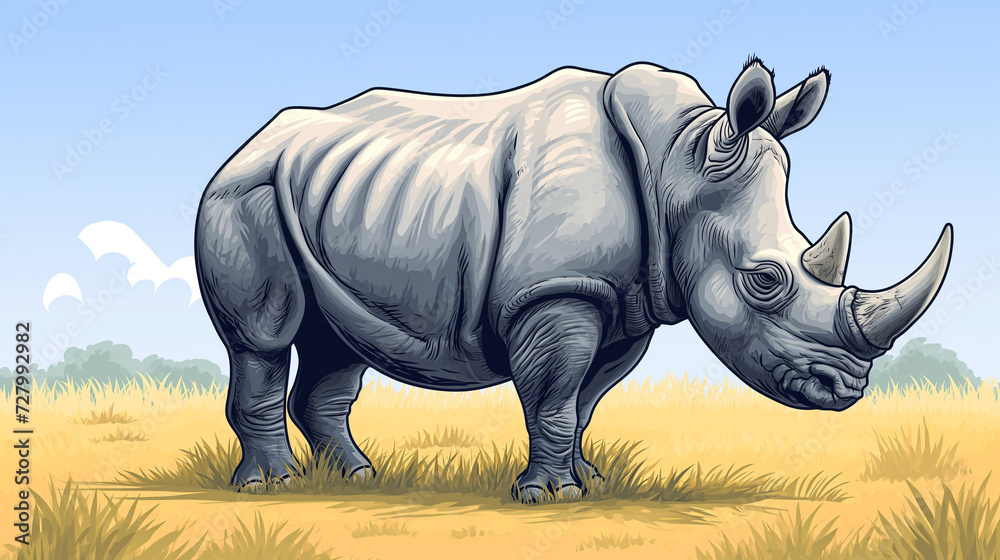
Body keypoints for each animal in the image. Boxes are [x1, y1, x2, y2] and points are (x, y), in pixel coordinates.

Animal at [195, 58, 953, 502]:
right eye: (765, 280)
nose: (846, 390)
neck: (679, 159)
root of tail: (249, 142)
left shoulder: (629, 300)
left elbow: (585, 399)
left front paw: (589, 481)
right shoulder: (560, 289)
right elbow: (556, 391)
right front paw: (551, 497)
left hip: (333, 194)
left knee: (336, 344)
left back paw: (357, 478)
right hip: (245, 192)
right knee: (265, 335)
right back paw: (273, 488)